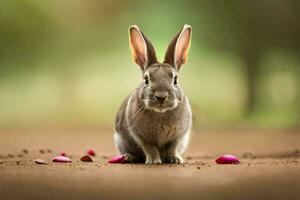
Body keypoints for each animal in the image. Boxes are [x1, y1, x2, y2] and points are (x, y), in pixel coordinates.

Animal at [113, 24, 193, 164]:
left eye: (175, 80)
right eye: (146, 79)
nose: (161, 96)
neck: (160, 113)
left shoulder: (178, 136)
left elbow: (172, 148)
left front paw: (175, 160)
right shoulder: (142, 137)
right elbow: (151, 148)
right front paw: (154, 161)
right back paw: (129, 157)